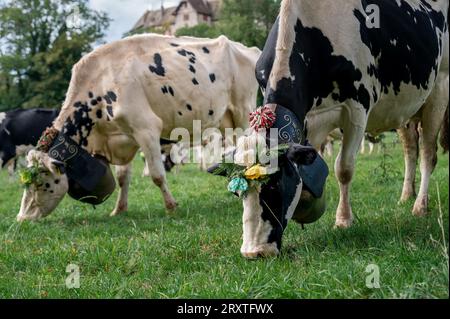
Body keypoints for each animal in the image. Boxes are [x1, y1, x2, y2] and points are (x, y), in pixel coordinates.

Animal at [14, 33, 260, 221]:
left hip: (243, 111)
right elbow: (123, 177)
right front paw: (118, 209)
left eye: (40, 181)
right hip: (226, 121)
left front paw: (171, 206)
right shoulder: (124, 136)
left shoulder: (147, 129)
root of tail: (247, 48)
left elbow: (157, 175)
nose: (21, 218)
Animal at [216, 0, 448, 258]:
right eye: (237, 192)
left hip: (439, 89)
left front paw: (343, 220)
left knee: (428, 154)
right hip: (406, 108)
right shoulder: (310, 118)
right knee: (410, 150)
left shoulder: (357, 107)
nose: (255, 251)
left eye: (275, 185)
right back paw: (406, 195)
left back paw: (420, 205)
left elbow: (343, 168)